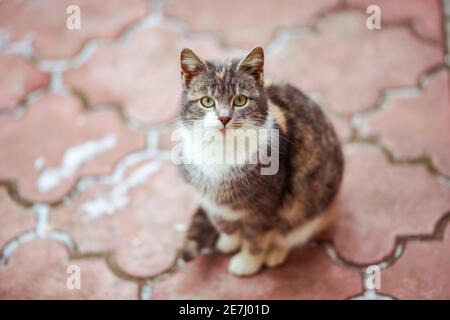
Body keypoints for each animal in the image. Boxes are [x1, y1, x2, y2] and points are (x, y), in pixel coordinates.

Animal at [177, 47, 344, 276]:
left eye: (240, 100)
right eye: (207, 101)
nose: (224, 118)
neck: (221, 150)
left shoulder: (264, 206)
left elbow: (256, 237)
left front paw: (247, 263)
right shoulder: (210, 200)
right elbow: (224, 223)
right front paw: (230, 242)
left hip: (310, 205)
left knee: (292, 229)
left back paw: (276, 252)